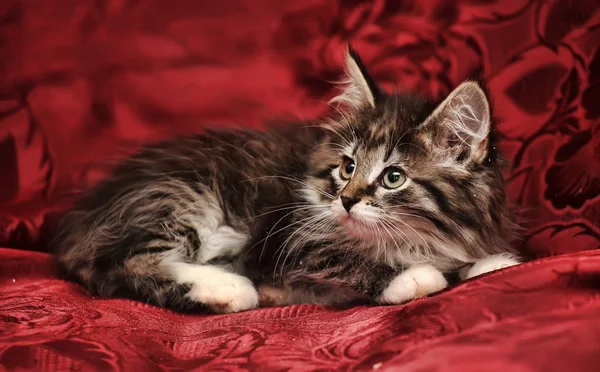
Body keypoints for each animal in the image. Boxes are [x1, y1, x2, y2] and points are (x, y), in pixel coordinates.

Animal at [52, 46, 520, 314]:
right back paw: (228, 286)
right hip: (180, 194)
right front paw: (413, 276)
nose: (346, 201)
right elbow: (343, 261)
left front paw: (492, 264)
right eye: (348, 167)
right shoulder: (289, 245)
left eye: (393, 177)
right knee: (121, 263)